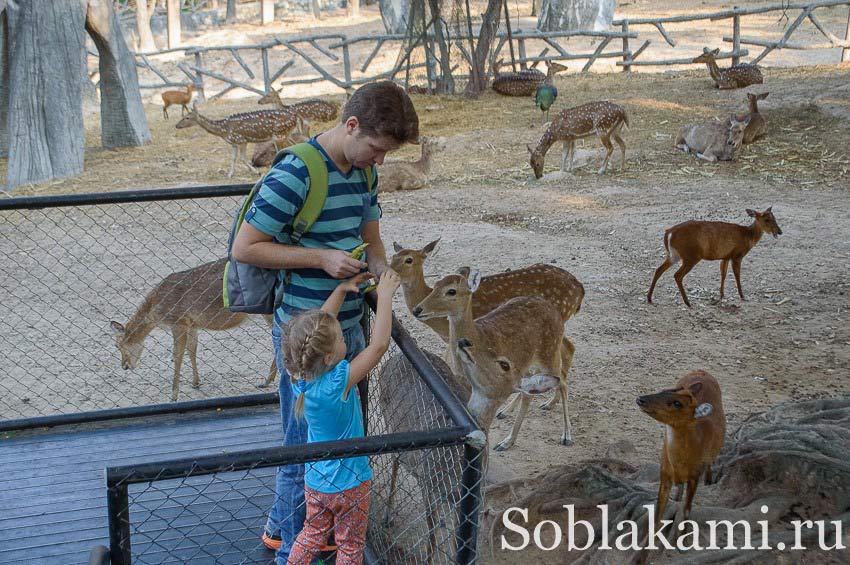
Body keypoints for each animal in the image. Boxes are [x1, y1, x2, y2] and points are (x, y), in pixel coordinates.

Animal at [109, 258, 274, 404]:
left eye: (119, 345)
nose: (124, 366)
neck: (156, 312)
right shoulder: (192, 324)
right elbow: (192, 350)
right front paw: (196, 383)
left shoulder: (178, 322)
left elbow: (177, 356)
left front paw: (173, 396)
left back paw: (266, 381)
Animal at [414, 268, 572, 450]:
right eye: (435, 285)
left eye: (451, 291)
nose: (417, 309)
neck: (478, 335)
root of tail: (554, 310)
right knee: (530, 391)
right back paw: (506, 421)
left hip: (549, 353)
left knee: (562, 382)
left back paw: (565, 435)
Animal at [632, 370, 724, 552]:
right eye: (664, 390)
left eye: (677, 403)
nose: (641, 399)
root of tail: (702, 371)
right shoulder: (664, 472)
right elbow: (658, 512)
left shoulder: (695, 475)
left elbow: (687, 510)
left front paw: (682, 542)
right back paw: (678, 495)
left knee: (710, 462)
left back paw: (708, 480)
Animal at [648, 207, 780, 306]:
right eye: (767, 219)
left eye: (775, 218)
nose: (779, 231)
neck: (748, 237)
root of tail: (669, 232)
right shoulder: (737, 255)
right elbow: (737, 275)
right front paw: (743, 296)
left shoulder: (726, 256)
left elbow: (723, 274)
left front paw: (721, 295)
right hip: (691, 256)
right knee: (677, 275)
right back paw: (687, 302)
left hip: (674, 255)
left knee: (659, 269)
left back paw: (649, 298)